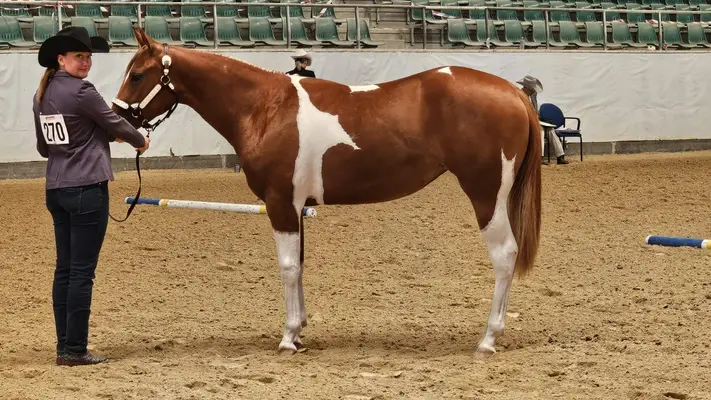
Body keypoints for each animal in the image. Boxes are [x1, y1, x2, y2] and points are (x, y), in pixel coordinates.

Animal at [111, 27, 542, 356]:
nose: (115, 118)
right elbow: (300, 266)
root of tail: (513, 92)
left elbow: (287, 268)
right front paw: (300, 330)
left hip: (486, 194)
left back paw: (487, 339)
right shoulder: (296, 208)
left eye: (138, 75)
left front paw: (288, 338)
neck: (266, 108)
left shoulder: (280, 205)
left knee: (505, 255)